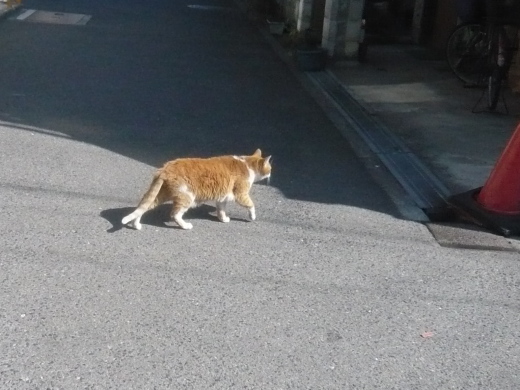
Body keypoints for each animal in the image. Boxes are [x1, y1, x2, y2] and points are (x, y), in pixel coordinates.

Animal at [121, 149, 272, 229]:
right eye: (270, 168)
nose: (271, 174)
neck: (247, 164)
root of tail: (165, 169)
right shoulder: (241, 193)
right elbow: (251, 205)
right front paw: (252, 216)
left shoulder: (222, 198)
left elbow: (221, 210)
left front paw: (223, 219)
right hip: (187, 197)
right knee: (175, 214)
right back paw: (185, 225)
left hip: (161, 194)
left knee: (143, 206)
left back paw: (136, 224)